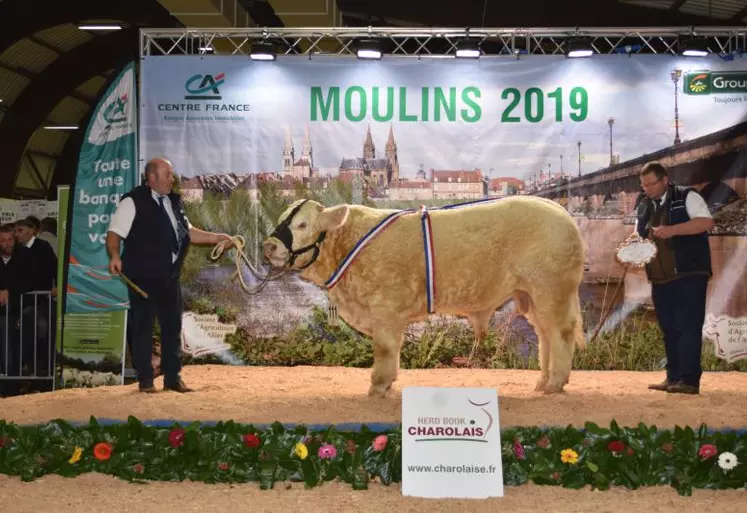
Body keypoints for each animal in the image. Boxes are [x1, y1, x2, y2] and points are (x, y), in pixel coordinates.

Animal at [266, 196, 588, 396]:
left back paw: (554, 383)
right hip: (531, 295)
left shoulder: (385, 308)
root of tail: (560, 211)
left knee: (560, 333)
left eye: (302, 224)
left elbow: (385, 350)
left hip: (551, 289)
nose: (269, 245)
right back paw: (542, 382)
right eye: (282, 219)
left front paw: (378, 387)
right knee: (545, 336)